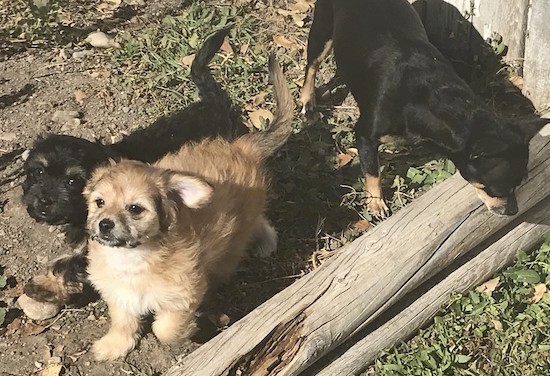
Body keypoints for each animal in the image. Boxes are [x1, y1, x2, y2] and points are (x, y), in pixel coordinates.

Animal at [23, 27, 248, 306]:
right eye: (38, 172)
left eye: (72, 181)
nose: (44, 200)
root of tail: (217, 104)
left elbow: (69, 266)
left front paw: (46, 286)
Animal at [84, 54, 296, 360]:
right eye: (99, 202)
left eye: (135, 209)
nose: (104, 224)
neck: (133, 259)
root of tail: (243, 146)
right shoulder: (120, 293)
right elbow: (123, 320)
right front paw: (115, 344)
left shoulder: (182, 295)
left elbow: (166, 329)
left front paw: (187, 332)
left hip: (232, 243)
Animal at [302, 0, 550, 217]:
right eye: (498, 189)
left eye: (521, 183)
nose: (513, 211)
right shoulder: (365, 135)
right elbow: (372, 172)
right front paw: (376, 203)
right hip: (322, 29)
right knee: (311, 65)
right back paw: (307, 99)